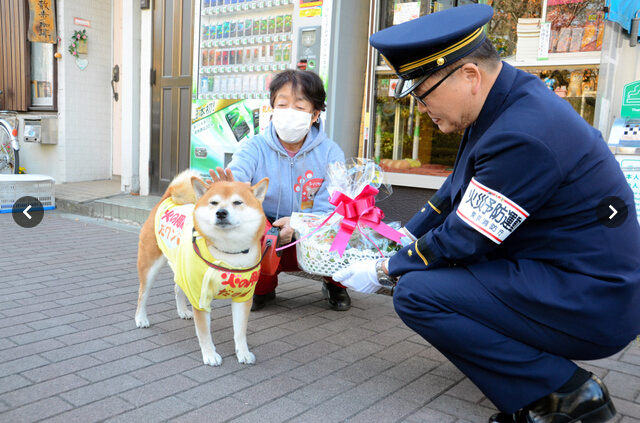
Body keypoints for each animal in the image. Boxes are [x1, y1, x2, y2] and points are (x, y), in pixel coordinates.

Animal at [134, 171, 268, 366]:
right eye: (214, 203)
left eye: (237, 202)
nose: (221, 213)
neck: (228, 252)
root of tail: (167, 197)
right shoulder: (200, 295)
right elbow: (204, 332)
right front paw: (210, 355)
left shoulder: (243, 297)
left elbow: (240, 331)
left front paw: (243, 352)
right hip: (150, 264)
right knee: (143, 294)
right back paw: (141, 318)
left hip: (181, 266)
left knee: (177, 288)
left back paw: (182, 311)